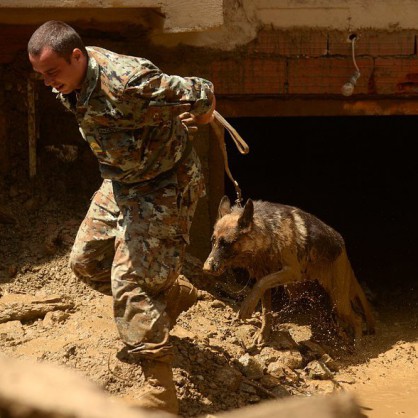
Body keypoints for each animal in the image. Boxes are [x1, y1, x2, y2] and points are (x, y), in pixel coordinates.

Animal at [202, 196, 376, 346]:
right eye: (213, 241)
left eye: (226, 244)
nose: (206, 268)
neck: (270, 233)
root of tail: (343, 250)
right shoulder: (268, 280)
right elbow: (266, 311)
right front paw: (264, 334)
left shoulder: (291, 272)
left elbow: (259, 285)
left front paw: (246, 307)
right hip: (303, 291)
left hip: (339, 303)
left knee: (358, 319)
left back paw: (357, 345)